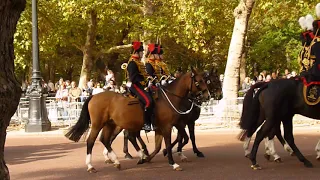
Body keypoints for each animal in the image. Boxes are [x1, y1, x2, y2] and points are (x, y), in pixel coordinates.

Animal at [65, 68, 210, 172]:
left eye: (206, 80)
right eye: (198, 82)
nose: (207, 96)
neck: (170, 98)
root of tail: (93, 96)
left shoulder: (171, 125)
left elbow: (172, 142)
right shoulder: (167, 126)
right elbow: (169, 143)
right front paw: (173, 163)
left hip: (110, 124)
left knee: (106, 139)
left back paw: (118, 161)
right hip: (98, 124)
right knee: (91, 141)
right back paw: (91, 166)